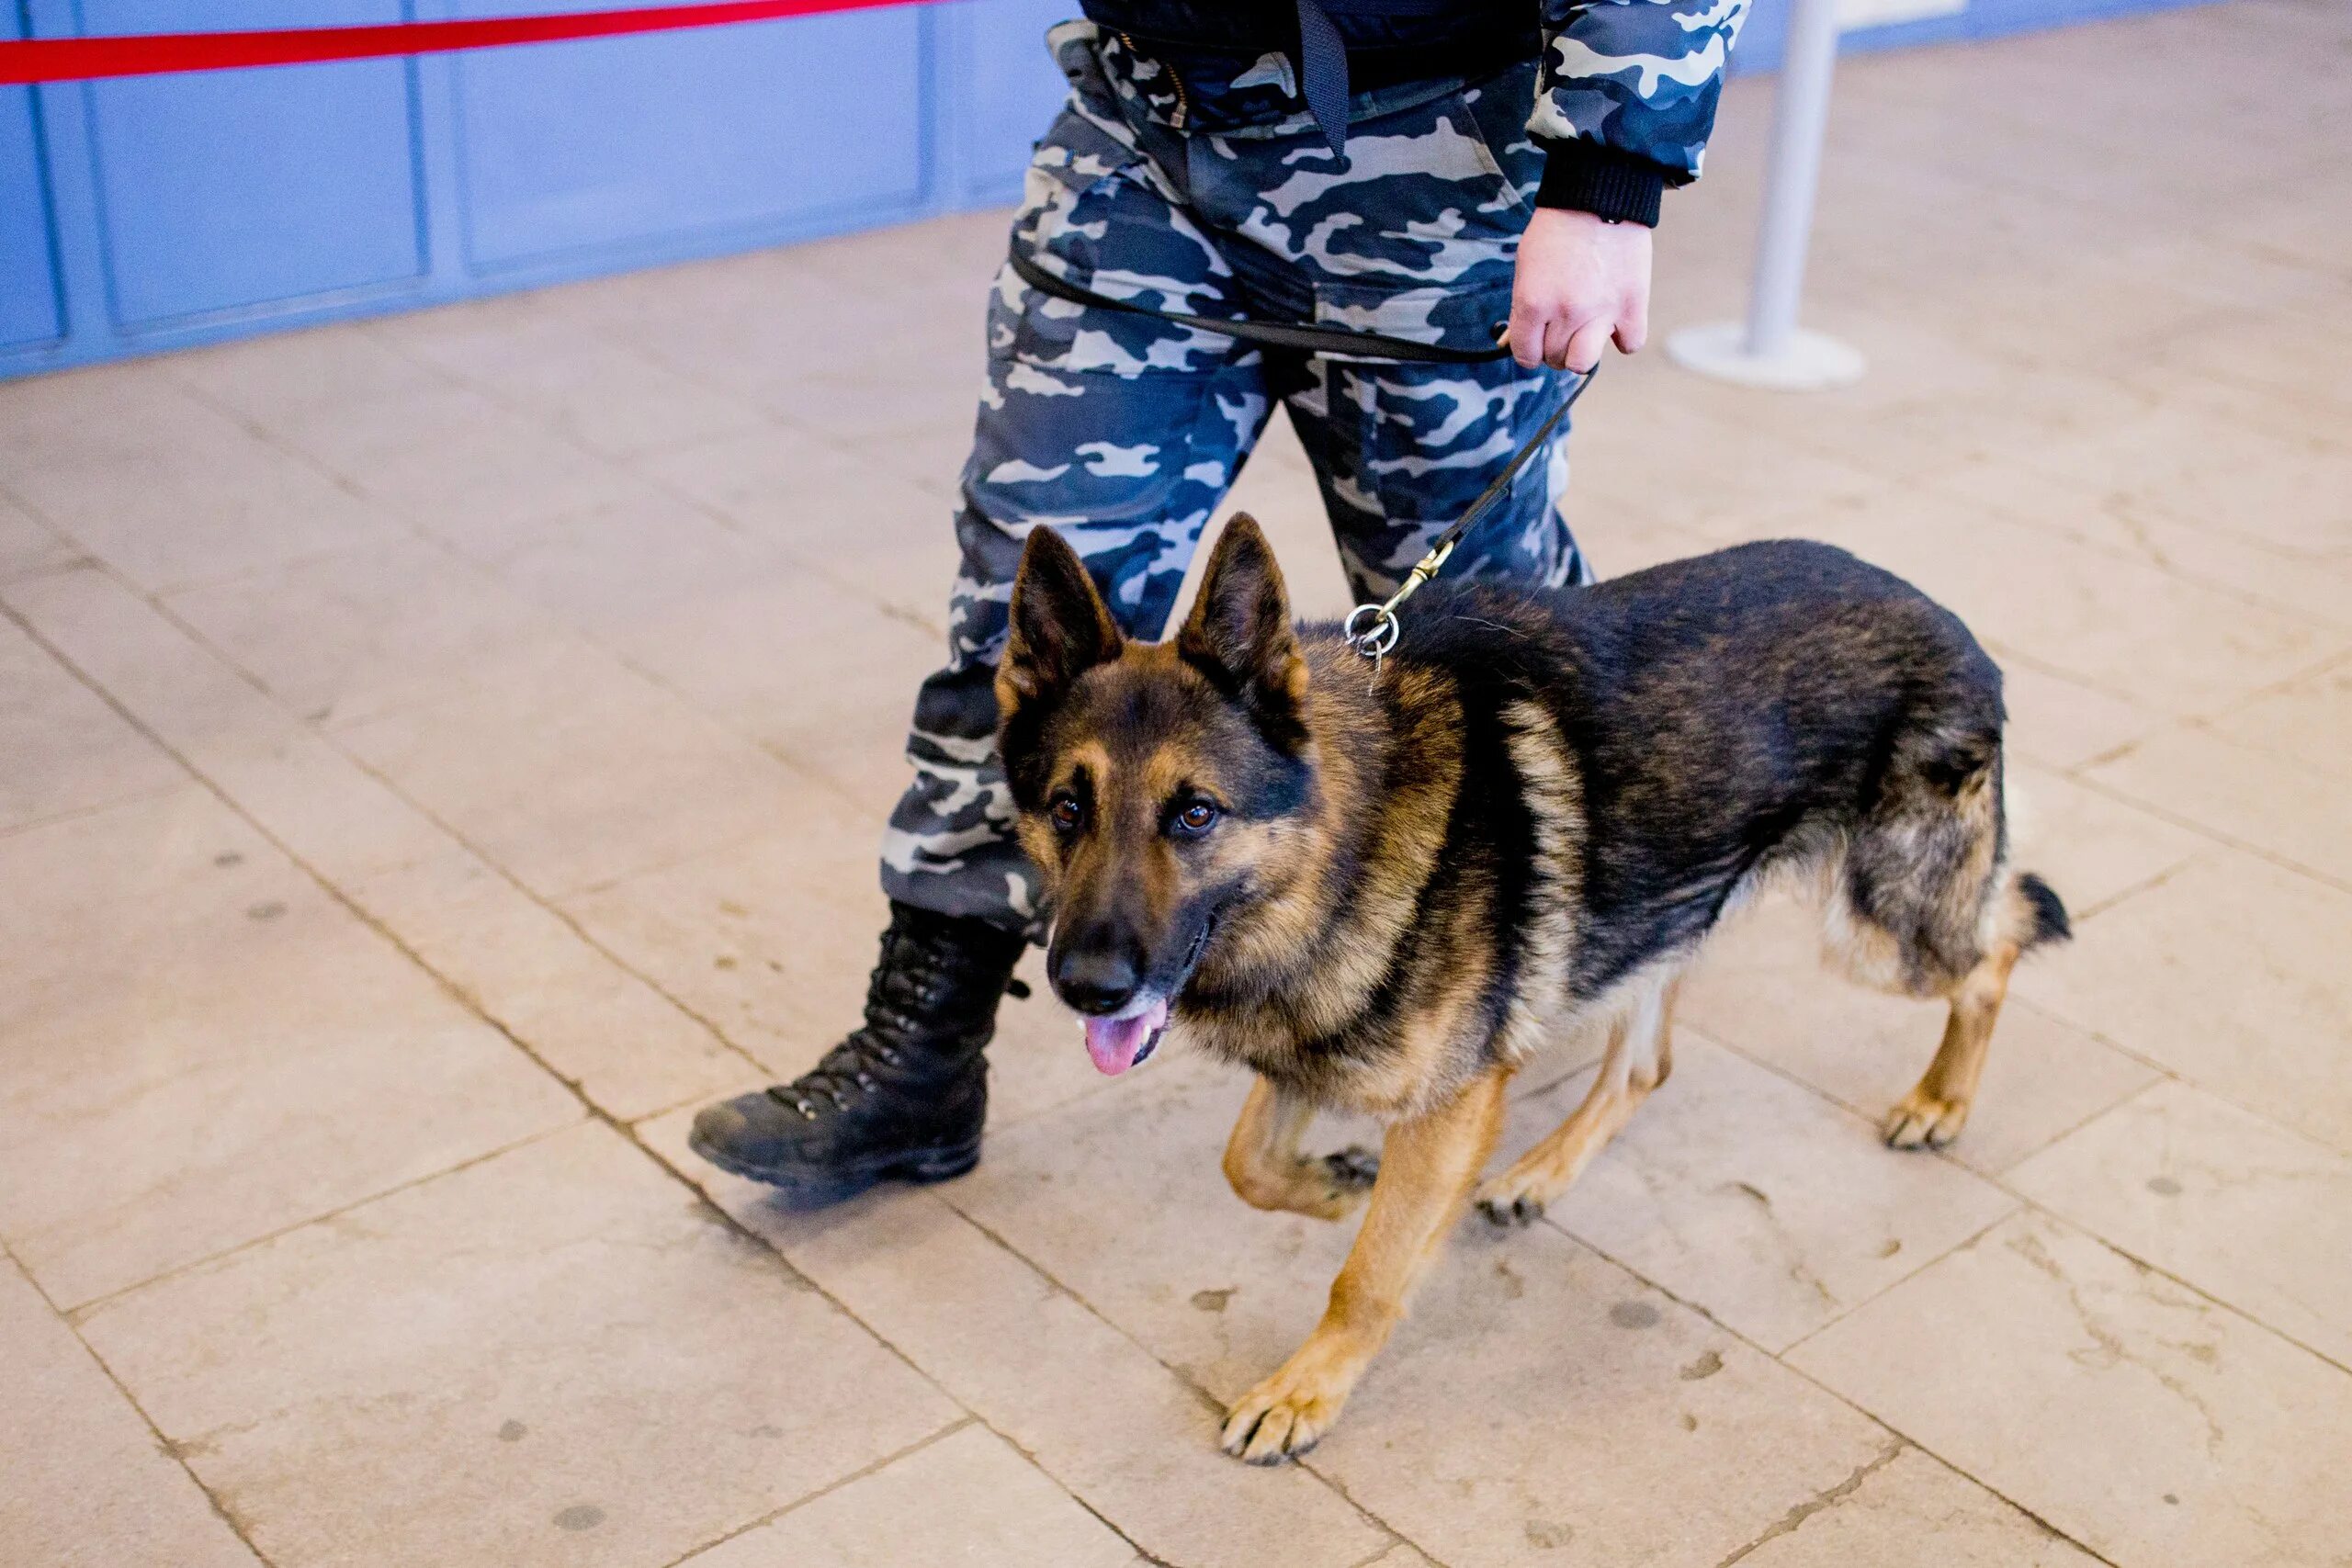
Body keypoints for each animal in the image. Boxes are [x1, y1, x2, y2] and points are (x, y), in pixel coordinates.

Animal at [992, 514, 2060, 1457]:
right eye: (1067, 808)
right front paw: (1336, 1189)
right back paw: (1537, 1173)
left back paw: (1941, 1101)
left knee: (2001, 939)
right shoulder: (1319, 1043)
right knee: (1647, 1062)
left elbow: (1368, 1275)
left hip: (1883, 931)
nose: (1086, 986)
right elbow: (1245, 1164)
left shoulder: (1450, 1102)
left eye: (1196, 814)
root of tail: (1953, 623)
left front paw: (1306, 1389)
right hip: (1661, 914)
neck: (1346, 831)